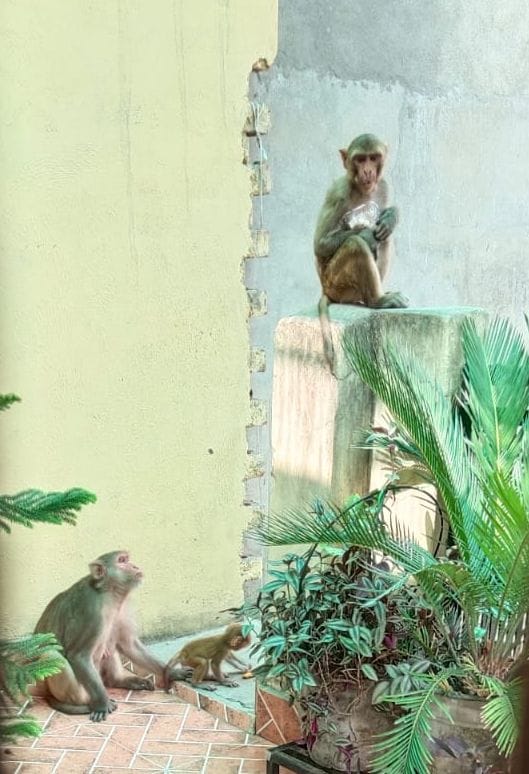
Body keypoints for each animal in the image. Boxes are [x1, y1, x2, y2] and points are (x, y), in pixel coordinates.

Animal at [34, 550, 191, 721]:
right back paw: (81, 706)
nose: (135, 566)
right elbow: (78, 655)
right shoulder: (91, 610)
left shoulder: (122, 609)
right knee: (51, 653)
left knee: (109, 644)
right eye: (121, 561)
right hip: (75, 690)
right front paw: (103, 704)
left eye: (127, 559)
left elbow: (129, 645)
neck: (110, 594)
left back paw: (118, 680)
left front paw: (172, 672)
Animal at [314, 133, 408, 371]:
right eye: (359, 159)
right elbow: (320, 244)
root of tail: (326, 290)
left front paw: (392, 215)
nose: (367, 171)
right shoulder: (338, 192)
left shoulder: (383, 185)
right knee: (355, 244)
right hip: (337, 284)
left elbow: (385, 221)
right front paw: (366, 233)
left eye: (373, 158)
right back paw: (377, 300)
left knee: (385, 236)